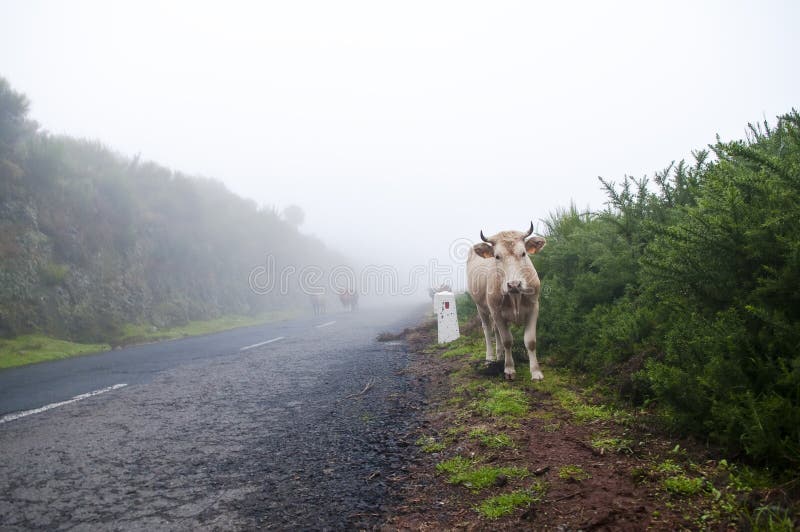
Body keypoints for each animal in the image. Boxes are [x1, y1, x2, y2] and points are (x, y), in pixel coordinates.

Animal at [466, 222, 548, 380]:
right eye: (497, 256)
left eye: (523, 253)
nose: (514, 284)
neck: (515, 296)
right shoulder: (497, 312)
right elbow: (507, 341)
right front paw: (509, 369)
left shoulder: (533, 308)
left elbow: (530, 341)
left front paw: (536, 372)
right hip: (481, 308)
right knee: (487, 330)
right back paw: (490, 358)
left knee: (496, 331)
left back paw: (499, 355)